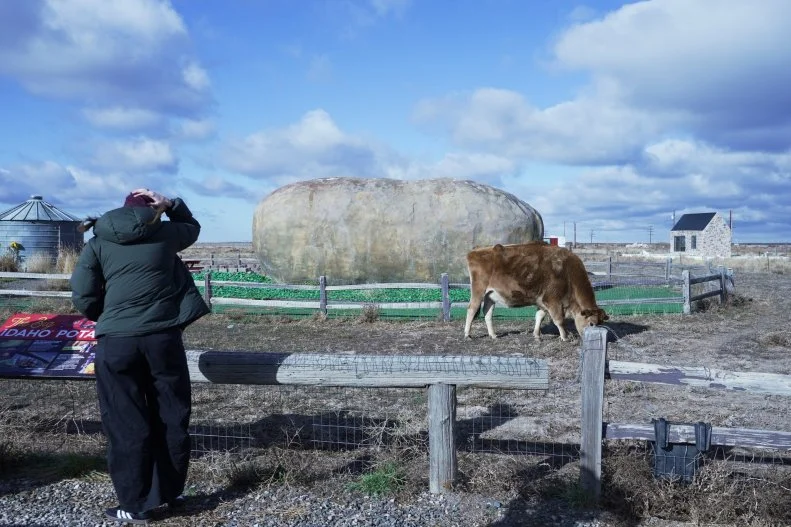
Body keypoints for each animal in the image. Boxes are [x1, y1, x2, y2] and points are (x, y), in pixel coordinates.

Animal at [463, 242, 608, 341]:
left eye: (600, 323)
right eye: (591, 323)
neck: (568, 273)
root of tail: (475, 251)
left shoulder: (542, 301)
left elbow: (539, 317)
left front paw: (537, 335)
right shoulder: (552, 300)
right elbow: (559, 320)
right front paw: (565, 337)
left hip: (490, 295)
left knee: (487, 313)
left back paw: (493, 335)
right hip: (478, 290)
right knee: (472, 309)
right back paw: (467, 335)